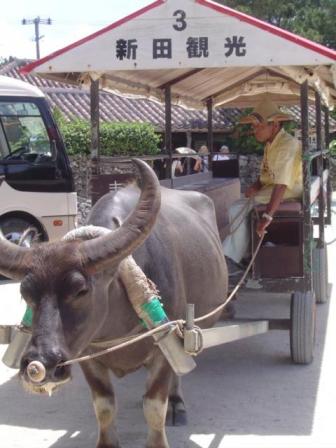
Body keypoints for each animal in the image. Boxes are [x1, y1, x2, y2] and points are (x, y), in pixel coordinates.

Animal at [0, 161, 228, 448]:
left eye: (80, 290)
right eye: (25, 292)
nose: (40, 363)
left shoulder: (164, 345)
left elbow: (155, 407)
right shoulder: (85, 353)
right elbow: (104, 405)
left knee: (179, 370)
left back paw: (176, 403)